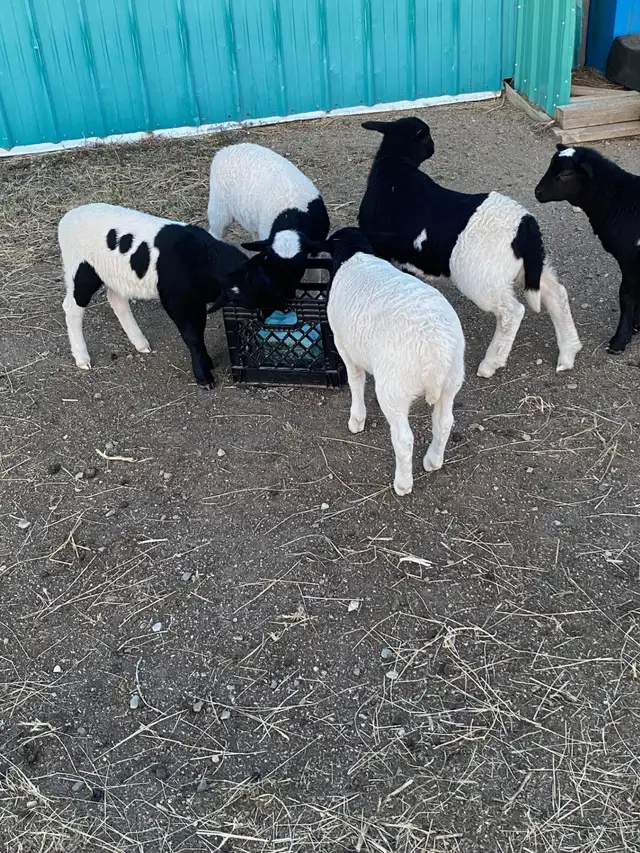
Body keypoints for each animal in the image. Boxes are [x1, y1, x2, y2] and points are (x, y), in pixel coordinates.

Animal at [59, 203, 287, 388]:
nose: (275, 313)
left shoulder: (195, 300)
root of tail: (66, 218)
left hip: (114, 275)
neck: (205, 257)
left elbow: (199, 330)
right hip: (81, 271)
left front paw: (207, 362)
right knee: (72, 308)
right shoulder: (176, 300)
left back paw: (140, 343)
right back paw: (82, 357)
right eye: (244, 300)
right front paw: (204, 377)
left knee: (116, 300)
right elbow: (192, 336)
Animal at [207, 143, 330, 292]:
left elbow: (314, 277)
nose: (287, 294)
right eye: (273, 267)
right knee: (215, 233)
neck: (291, 215)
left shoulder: (315, 248)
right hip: (218, 209)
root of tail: (226, 149)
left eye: (299, 267)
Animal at [324, 227, 465, 497]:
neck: (355, 254)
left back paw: (403, 483)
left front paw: (357, 419)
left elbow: (355, 381)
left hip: (395, 389)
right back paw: (433, 461)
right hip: (452, 380)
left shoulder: (343, 345)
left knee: (403, 439)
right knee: (444, 422)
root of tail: (436, 348)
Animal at [358, 116, 582, 378]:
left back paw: (490, 363)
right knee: (556, 294)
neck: (393, 167)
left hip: (482, 279)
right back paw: (568, 353)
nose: (433, 147)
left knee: (511, 312)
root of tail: (525, 226)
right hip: (530, 268)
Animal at [535, 144, 640, 354]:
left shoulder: (629, 258)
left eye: (566, 174)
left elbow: (626, 296)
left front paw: (619, 340)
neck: (619, 200)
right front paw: (635, 326)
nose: (538, 192)